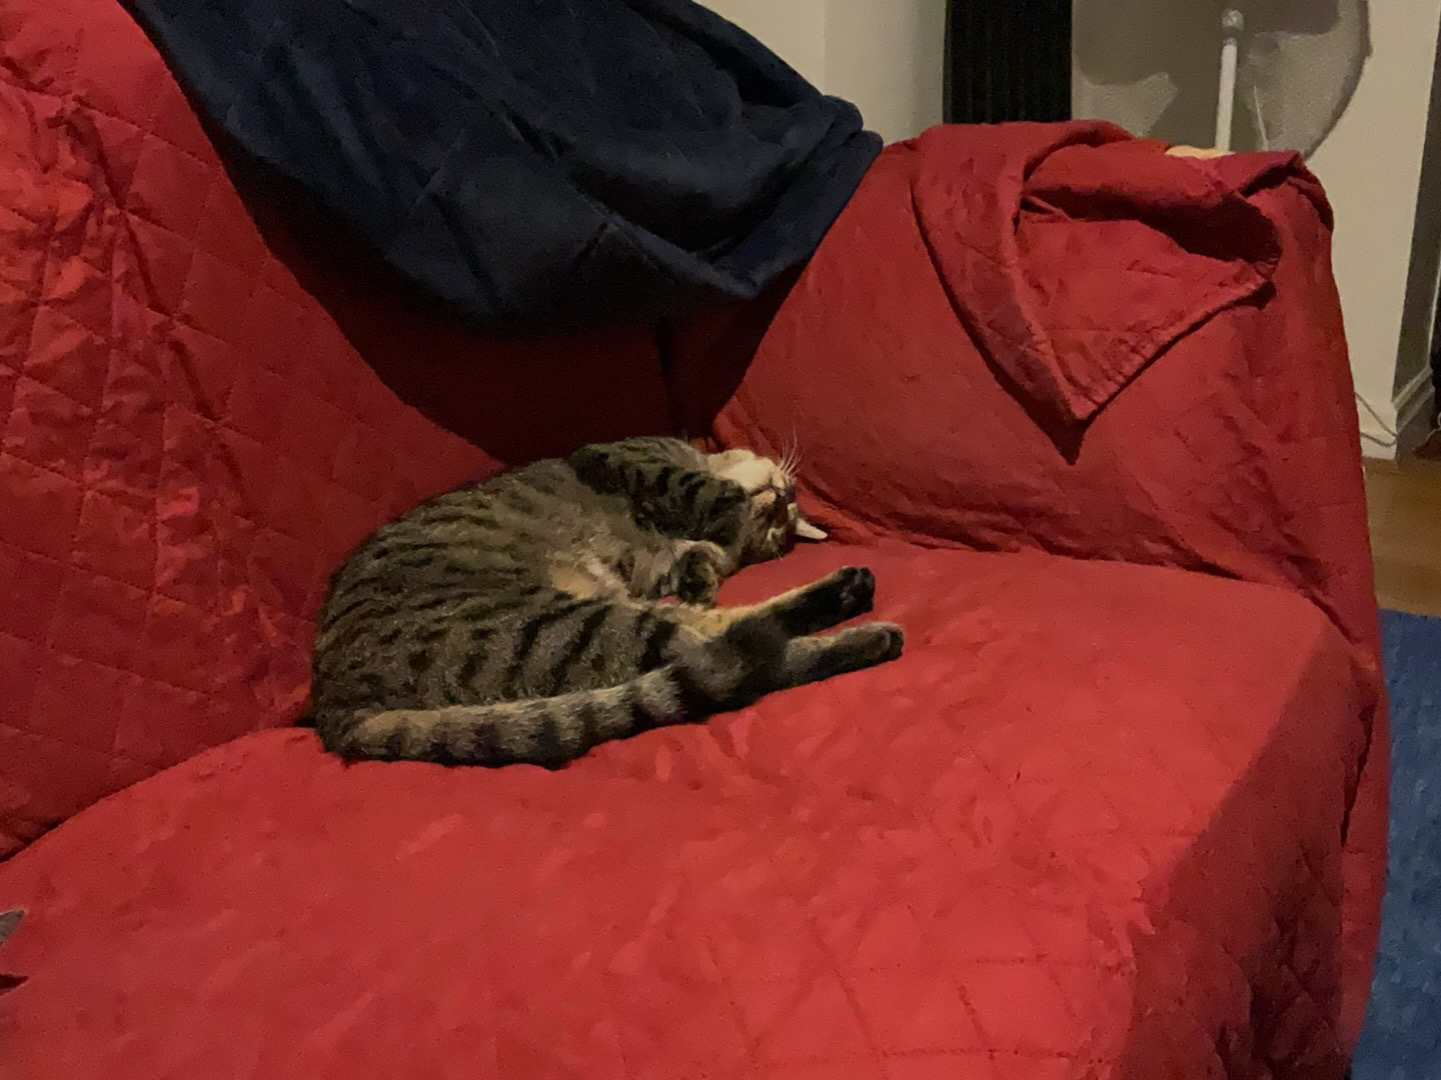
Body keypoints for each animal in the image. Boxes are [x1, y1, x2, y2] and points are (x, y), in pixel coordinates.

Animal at [309, 436, 904, 768]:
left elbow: (701, 552)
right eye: (779, 515)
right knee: (743, 655)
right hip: (568, 625)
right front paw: (727, 514)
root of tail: (332, 704)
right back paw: (862, 619)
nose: (781, 498)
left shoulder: (662, 565)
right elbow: (703, 490)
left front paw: (706, 561)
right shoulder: (629, 455)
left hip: (578, 624)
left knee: (726, 645)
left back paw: (853, 596)